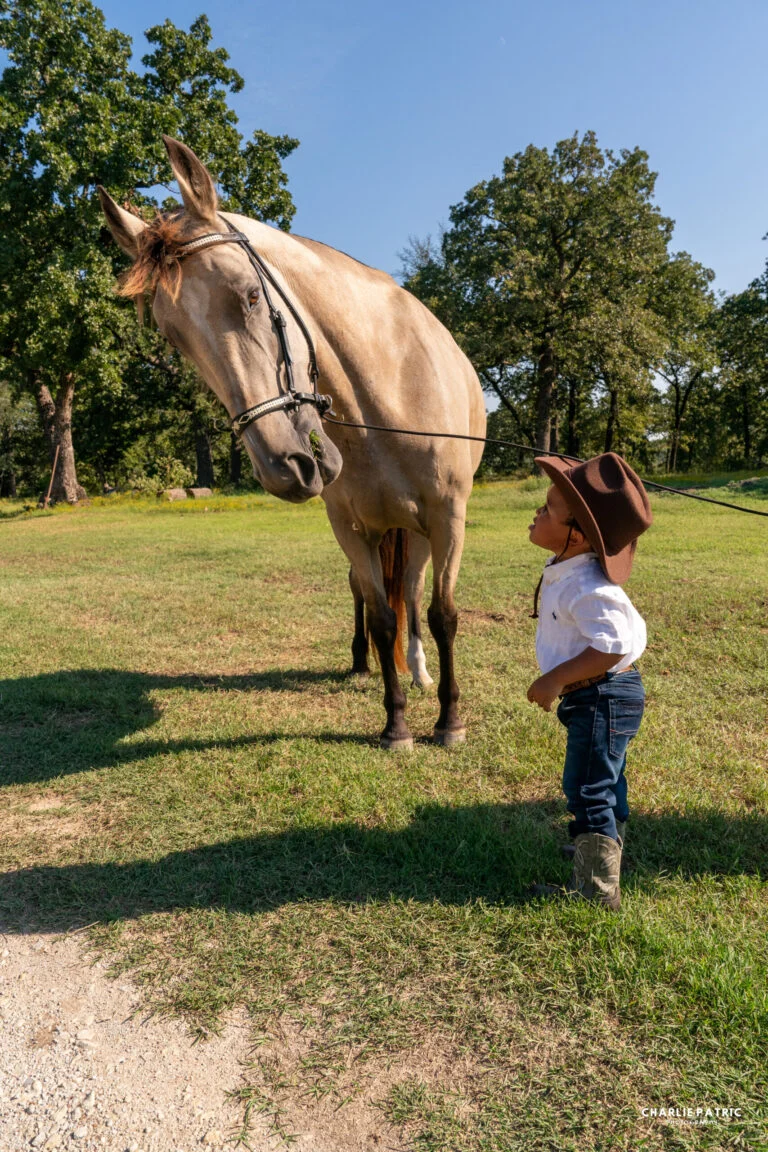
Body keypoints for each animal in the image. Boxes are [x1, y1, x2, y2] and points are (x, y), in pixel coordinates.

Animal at [98, 136, 486, 750]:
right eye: (173, 337)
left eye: (252, 298)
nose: (288, 464)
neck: (385, 397)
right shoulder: (351, 527)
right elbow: (380, 615)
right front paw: (395, 723)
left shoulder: (448, 516)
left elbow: (443, 613)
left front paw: (449, 719)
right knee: (372, 595)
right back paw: (364, 663)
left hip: (422, 531)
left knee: (415, 592)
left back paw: (422, 672)